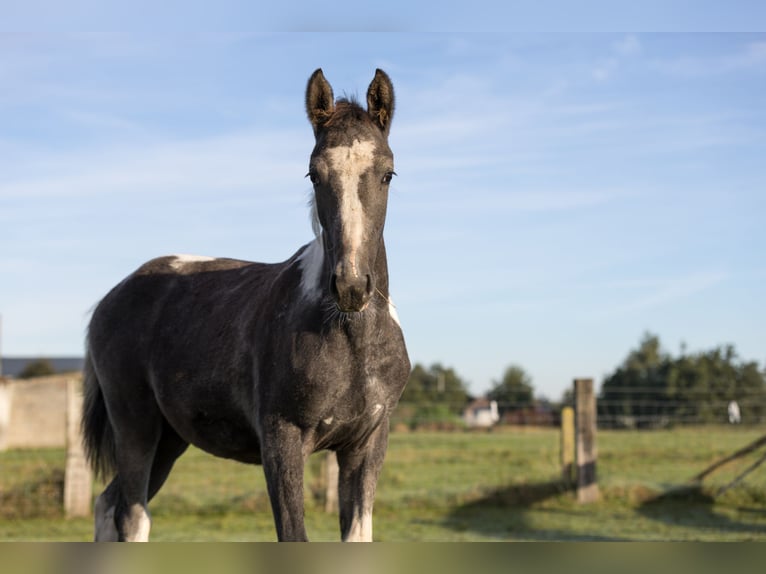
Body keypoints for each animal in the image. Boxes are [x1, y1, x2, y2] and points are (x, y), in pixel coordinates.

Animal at [81, 70, 412, 544]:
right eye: (314, 175)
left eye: (387, 173)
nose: (351, 285)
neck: (351, 341)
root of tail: (111, 298)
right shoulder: (281, 441)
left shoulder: (366, 444)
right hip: (135, 425)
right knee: (131, 514)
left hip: (170, 439)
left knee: (108, 505)